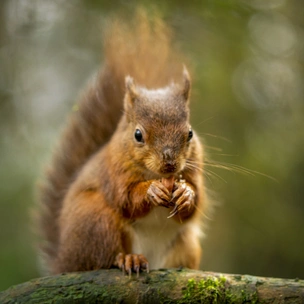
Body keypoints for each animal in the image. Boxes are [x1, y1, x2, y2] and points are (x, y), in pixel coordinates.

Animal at [37, 9, 209, 276]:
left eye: (190, 133)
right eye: (138, 135)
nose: (170, 164)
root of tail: (65, 262)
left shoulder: (195, 165)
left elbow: (196, 202)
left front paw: (186, 193)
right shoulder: (114, 170)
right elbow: (126, 198)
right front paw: (152, 190)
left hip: (186, 244)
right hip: (96, 222)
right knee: (104, 257)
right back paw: (129, 259)